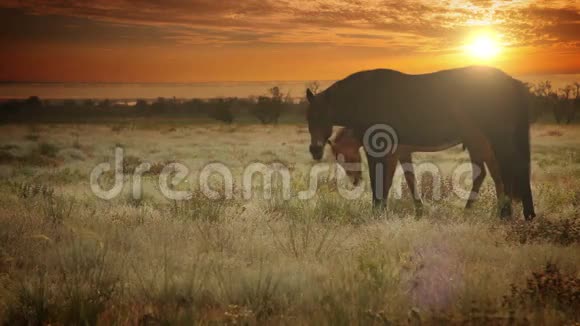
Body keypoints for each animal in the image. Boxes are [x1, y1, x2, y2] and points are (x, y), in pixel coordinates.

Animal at [328, 126, 488, 214]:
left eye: (344, 157)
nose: (354, 181)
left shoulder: (393, 155)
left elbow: (386, 182)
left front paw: (379, 211)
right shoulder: (404, 154)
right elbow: (410, 179)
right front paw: (419, 211)